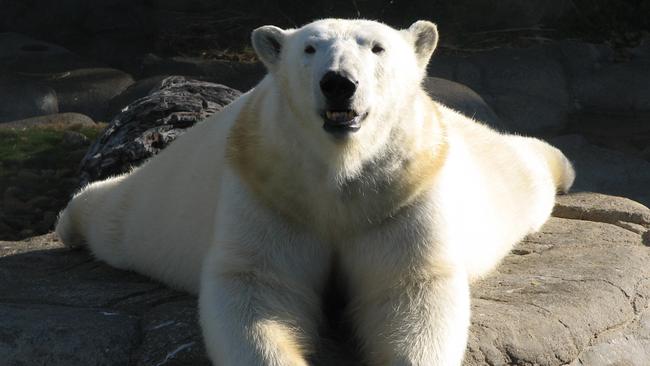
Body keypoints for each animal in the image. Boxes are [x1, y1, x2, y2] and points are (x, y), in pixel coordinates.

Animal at [55, 19, 572, 366]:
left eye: (377, 48)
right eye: (309, 48)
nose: (338, 83)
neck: (338, 169)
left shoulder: (399, 191)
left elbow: (408, 286)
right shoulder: (268, 186)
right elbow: (258, 286)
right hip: (163, 195)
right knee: (115, 216)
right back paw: (70, 221)